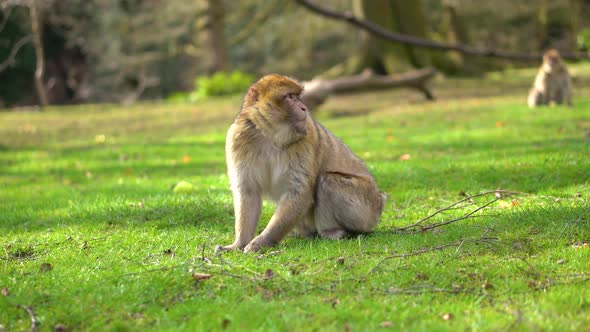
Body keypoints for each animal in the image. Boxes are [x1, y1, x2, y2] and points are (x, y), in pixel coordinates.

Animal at [219, 74, 388, 252]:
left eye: (298, 97)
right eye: (290, 97)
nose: (303, 108)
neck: (271, 135)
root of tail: (380, 200)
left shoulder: (307, 137)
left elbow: (299, 193)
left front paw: (260, 243)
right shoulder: (237, 138)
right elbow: (248, 192)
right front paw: (239, 244)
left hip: (366, 210)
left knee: (328, 180)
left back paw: (332, 232)